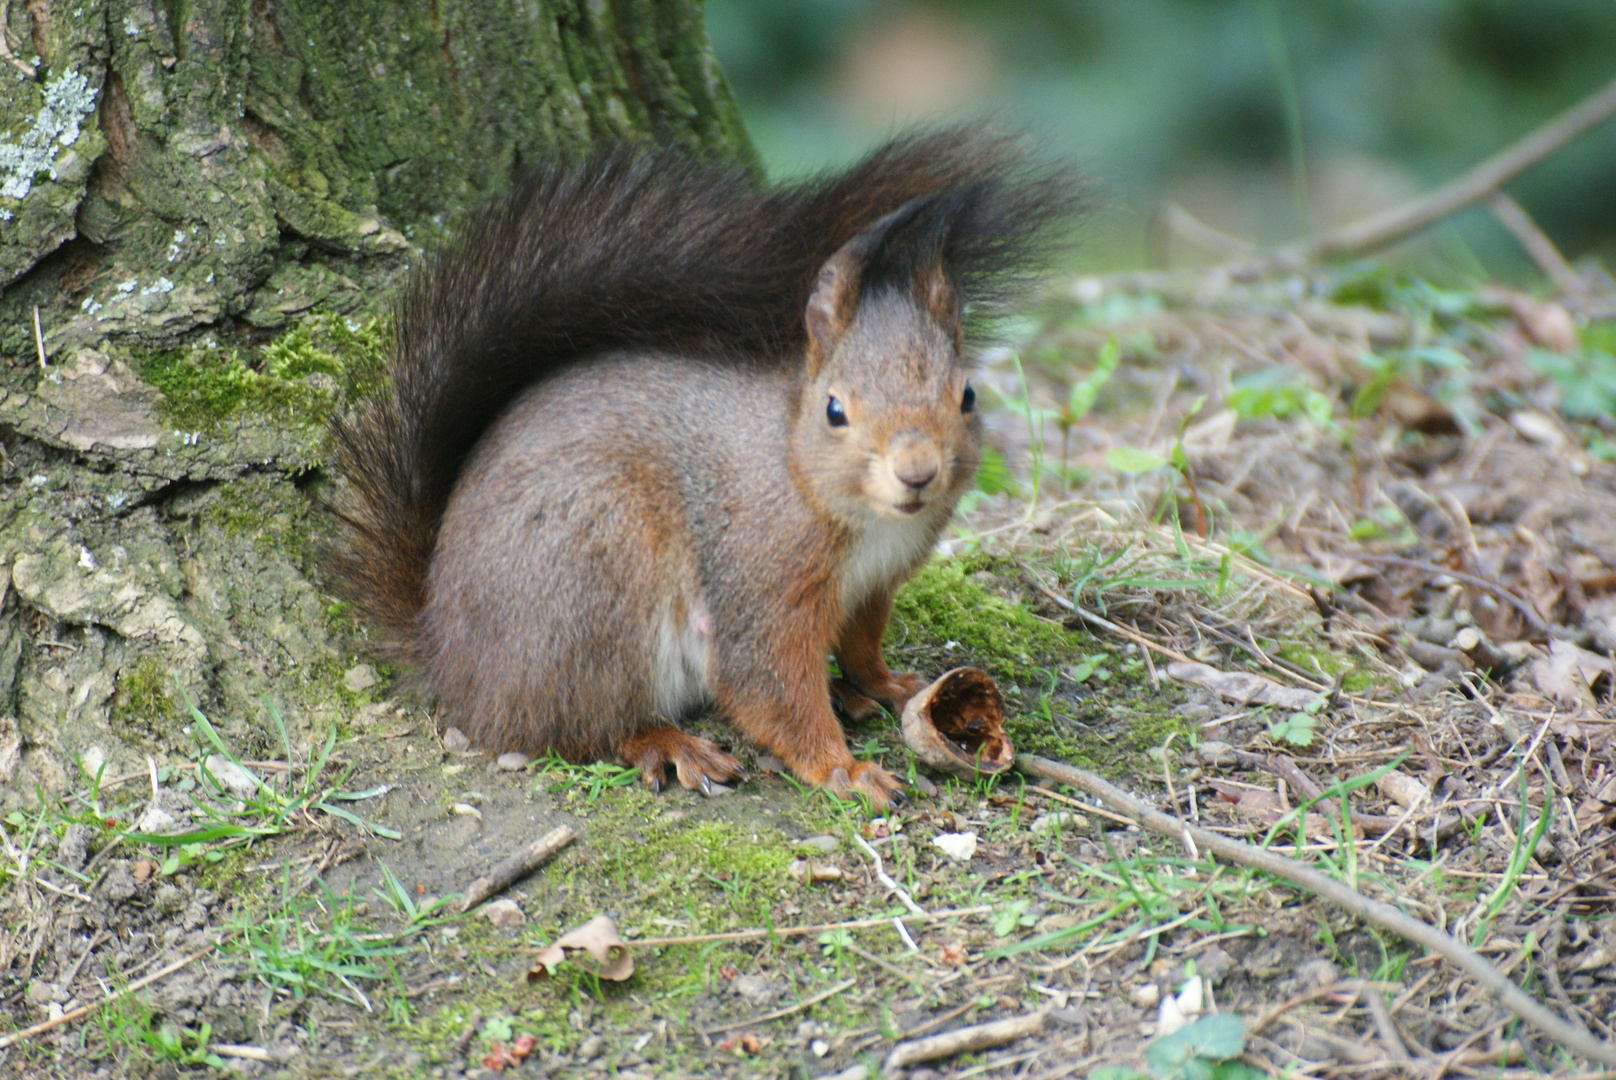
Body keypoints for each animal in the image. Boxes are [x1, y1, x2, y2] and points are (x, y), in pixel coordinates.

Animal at [331, 126, 1073, 805]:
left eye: (967, 396)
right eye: (834, 410)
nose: (917, 472)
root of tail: (447, 652)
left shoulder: (873, 584)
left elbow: (862, 643)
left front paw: (886, 684)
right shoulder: (763, 581)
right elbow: (768, 685)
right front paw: (846, 771)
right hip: (596, 590)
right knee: (573, 727)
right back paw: (668, 743)